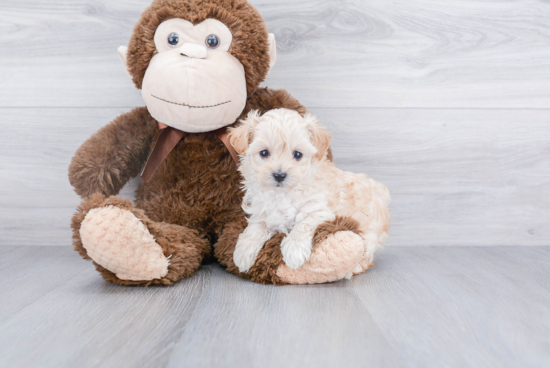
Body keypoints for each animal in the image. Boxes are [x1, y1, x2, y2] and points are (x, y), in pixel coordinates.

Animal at [229, 108, 392, 274]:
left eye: (297, 154)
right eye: (263, 153)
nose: (279, 175)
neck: (283, 194)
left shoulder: (320, 211)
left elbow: (303, 224)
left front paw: (294, 251)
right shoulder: (261, 213)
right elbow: (255, 228)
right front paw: (242, 253)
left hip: (370, 231)